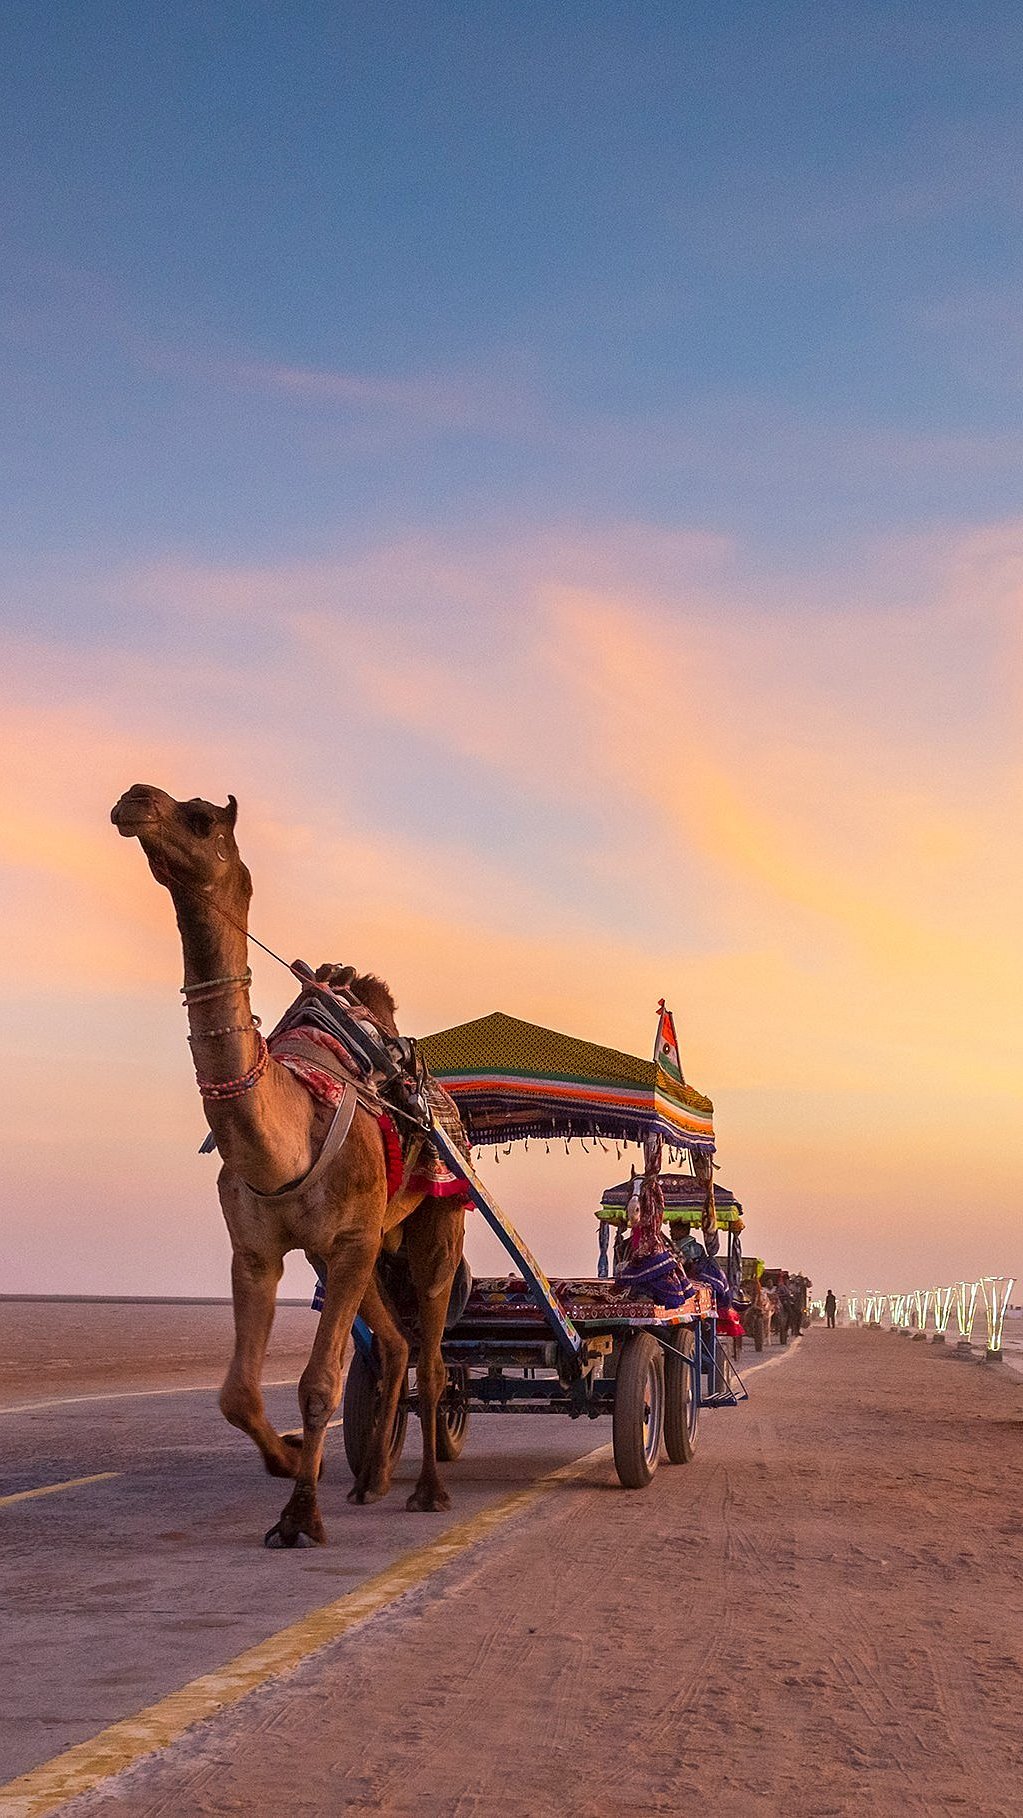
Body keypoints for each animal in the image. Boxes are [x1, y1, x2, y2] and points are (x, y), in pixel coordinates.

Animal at [111, 783, 465, 1547]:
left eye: (200, 818)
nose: (134, 798)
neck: (286, 1139)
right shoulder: (258, 1250)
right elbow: (237, 1393)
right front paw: (292, 1460)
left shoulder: (350, 1237)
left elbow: (318, 1384)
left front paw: (300, 1515)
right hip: (360, 1249)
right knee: (394, 1346)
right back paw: (371, 1478)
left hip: (434, 1223)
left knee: (430, 1356)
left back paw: (427, 1490)